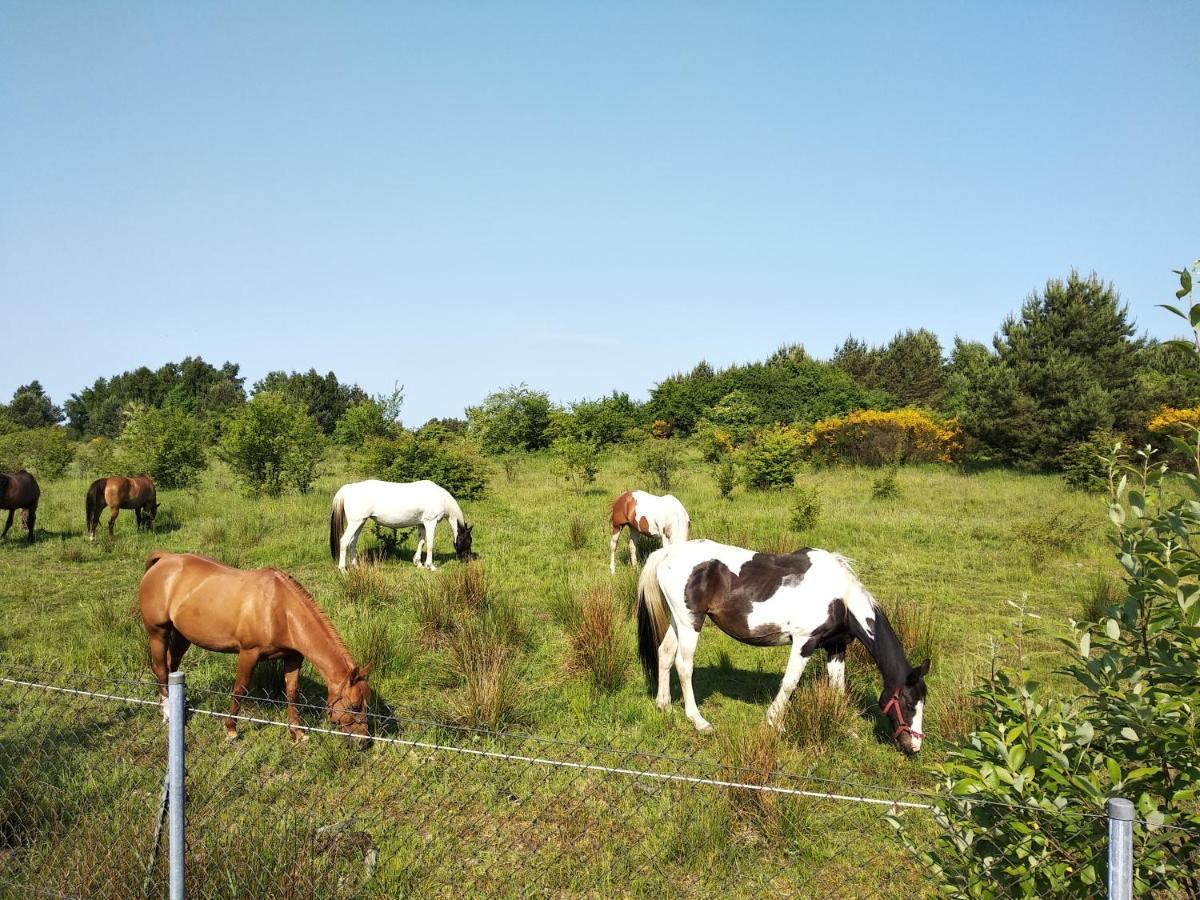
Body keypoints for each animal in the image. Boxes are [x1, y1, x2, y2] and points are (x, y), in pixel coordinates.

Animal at [138, 549, 369, 748]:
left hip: (182, 636)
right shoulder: (249, 654)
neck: (281, 611)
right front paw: (231, 729)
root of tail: (164, 559)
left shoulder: (293, 658)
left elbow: (292, 693)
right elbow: (240, 690)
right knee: (161, 669)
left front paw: (297, 733)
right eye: (354, 706)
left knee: (171, 667)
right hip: (158, 633)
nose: (364, 741)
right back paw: (168, 713)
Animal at [333, 480, 477, 571]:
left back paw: (356, 567)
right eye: (468, 540)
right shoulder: (431, 522)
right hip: (355, 522)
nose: (466, 559)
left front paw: (418, 563)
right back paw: (342, 569)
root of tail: (348, 489)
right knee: (344, 541)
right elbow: (430, 545)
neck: (441, 499)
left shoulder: (422, 524)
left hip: (360, 522)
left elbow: (421, 542)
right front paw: (430, 566)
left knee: (352, 543)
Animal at [633, 542, 931, 753]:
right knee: (684, 666)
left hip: (678, 621)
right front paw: (774, 722)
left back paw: (664, 705)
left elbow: (837, 689)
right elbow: (789, 683)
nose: (914, 747)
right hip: (690, 622)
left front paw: (845, 728)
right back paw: (698, 721)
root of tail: (667, 552)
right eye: (908, 703)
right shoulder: (804, 642)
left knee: (664, 654)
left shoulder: (835, 647)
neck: (841, 598)